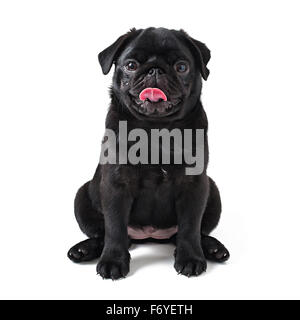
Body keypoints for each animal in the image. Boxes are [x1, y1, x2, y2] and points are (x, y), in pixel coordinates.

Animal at [68, 26, 230, 278]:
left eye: (181, 67)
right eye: (131, 65)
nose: (155, 70)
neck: (155, 129)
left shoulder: (194, 184)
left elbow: (190, 227)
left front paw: (191, 258)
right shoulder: (116, 184)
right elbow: (114, 228)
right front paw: (113, 260)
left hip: (212, 190)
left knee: (192, 233)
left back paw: (213, 248)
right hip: (82, 196)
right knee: (104, 235)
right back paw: (84, 250)